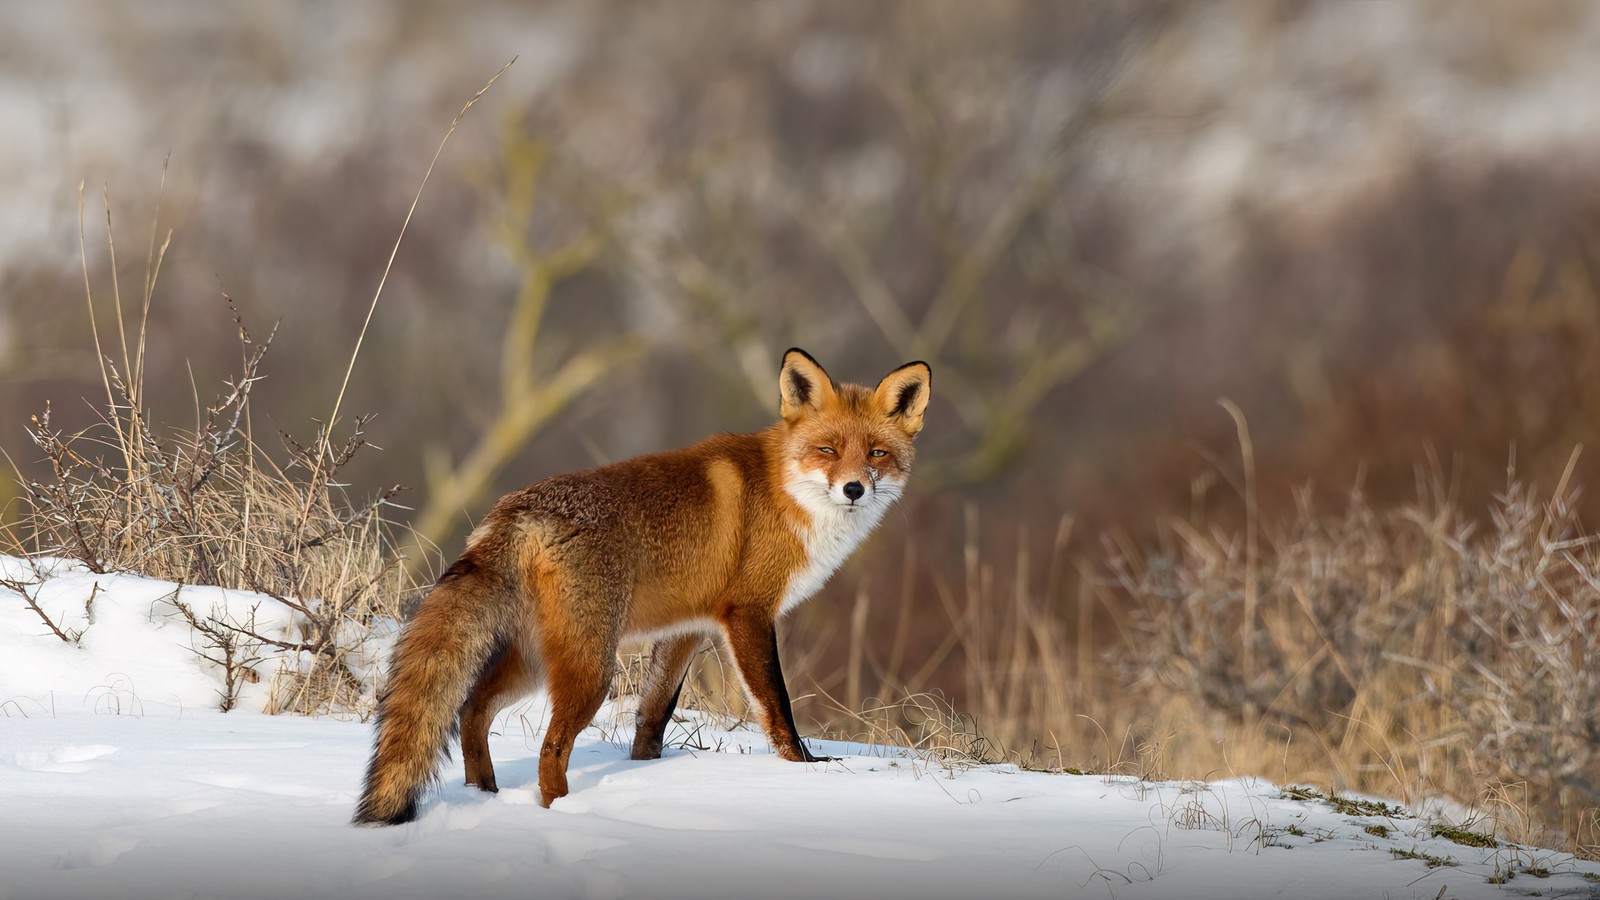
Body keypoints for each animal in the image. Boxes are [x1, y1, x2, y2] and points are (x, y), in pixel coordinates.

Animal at [350, 347, 928, 826]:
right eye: (827, 449)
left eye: (876, 454)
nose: (853, 489)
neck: (787, 492)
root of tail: (516, 511)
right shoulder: (748, 613)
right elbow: (777, 705)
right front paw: (803, 767)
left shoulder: (688, 627)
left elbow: (654, 714)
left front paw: (648, 771)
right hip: (591, 669)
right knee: (548, 748)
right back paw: (563, 811)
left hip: (534, 660)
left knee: (471, 710)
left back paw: (484, 795)